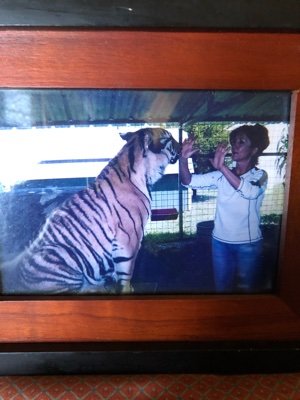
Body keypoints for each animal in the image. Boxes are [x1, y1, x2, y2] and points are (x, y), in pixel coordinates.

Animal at [1, 126, 179, 296]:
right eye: (170, 138)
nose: (181, 145)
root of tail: (16, 274)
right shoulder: (129, 237)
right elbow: (126, 272)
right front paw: (127, 290)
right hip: (62, 254)